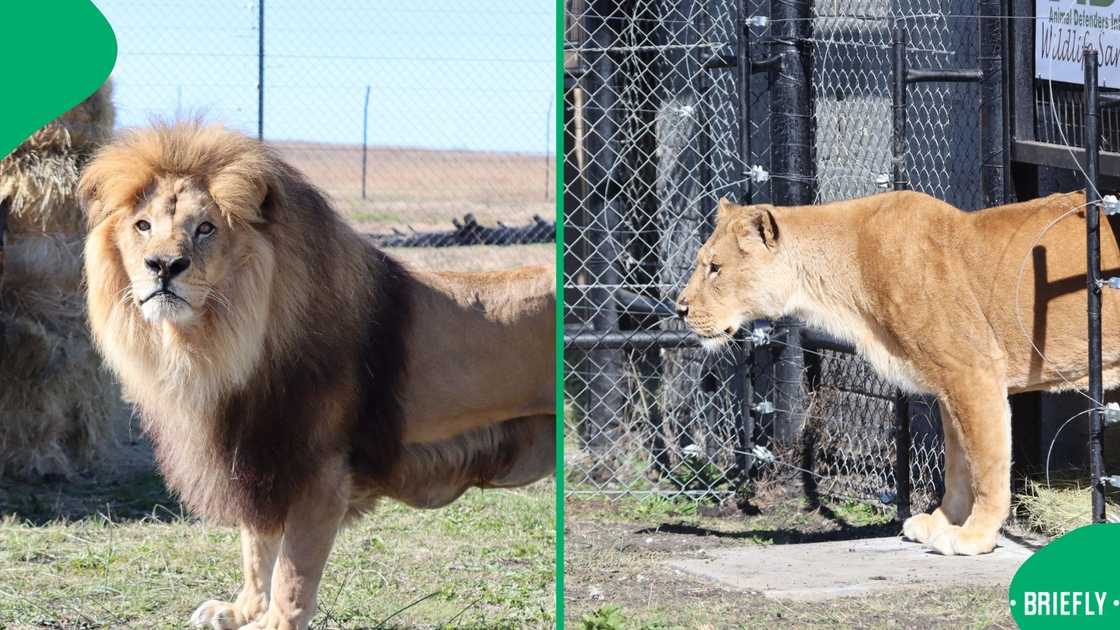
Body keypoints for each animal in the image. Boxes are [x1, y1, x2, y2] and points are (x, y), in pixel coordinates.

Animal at [79, 121, 555, 629]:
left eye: (205, 228)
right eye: (143, 226)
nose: (163, 266)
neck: (220, 345)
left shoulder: (319, 473)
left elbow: (293, 572)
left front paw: (271, 623)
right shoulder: (257, 458)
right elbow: (256, 547)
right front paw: (241, 609)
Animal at [676, 190, 1119, 556]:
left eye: (715, 268)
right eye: (701, 264)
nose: (679, 309)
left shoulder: (974, 372)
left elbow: (986, 465)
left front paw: (974, 536)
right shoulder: (949, 384)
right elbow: (958, 464)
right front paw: (942, 522)